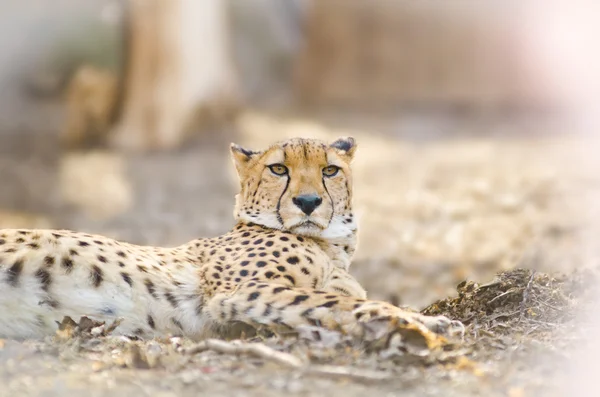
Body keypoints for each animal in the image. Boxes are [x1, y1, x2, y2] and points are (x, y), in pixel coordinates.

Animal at [0, 136, 464, 344]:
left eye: (330, 170)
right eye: (278, 169)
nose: (309, 202)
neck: (329, 247)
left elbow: (338, 303)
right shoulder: (243, 292)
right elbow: (348, 302)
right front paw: (429, 323)